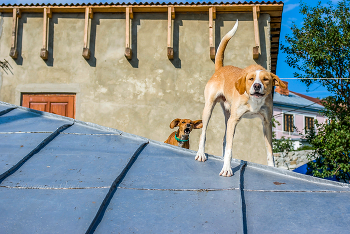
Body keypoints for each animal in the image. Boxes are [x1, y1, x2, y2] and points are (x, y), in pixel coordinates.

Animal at [194, 20, 288, 177]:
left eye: (266, 79)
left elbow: (270, 150)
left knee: (224, 139)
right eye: (251, 79)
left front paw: (272, 168)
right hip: (210, 109)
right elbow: (230, 149)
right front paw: (227, 168)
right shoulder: (234, 120)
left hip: (228, 116)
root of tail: (220, 69)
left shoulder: (266, 122)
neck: (255, 101)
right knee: (204, 133)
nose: (257, 85)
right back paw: (201, 153)